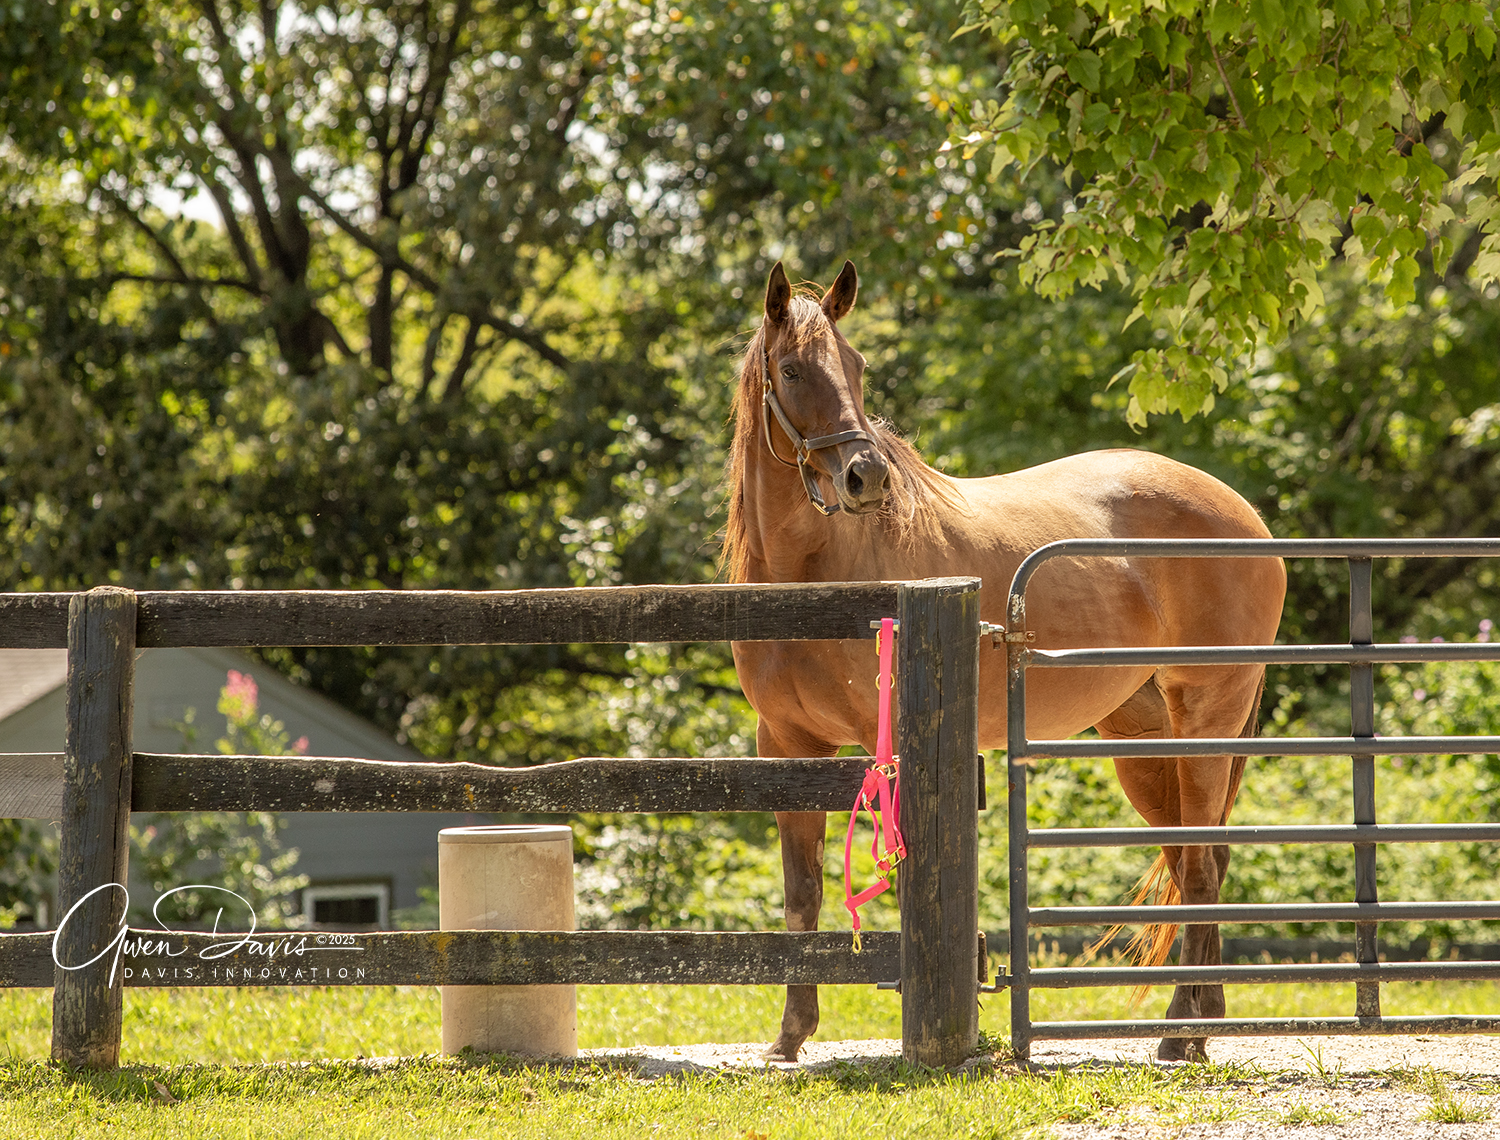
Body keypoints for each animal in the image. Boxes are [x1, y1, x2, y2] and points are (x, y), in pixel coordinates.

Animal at [726, 259, 1286, 1062]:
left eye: (857, 366)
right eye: (794, 369)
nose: (867, 477)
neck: (816, 573)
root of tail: (1244, 516)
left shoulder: (890, 749)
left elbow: (909, 883)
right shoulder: (786, 746)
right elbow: (802, 894)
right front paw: (790, 1037)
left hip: (1204, 719)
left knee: (1203, 863)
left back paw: (1190, 1030)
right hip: (1141, 738)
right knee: (1190, 862)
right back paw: (1186, 1024)